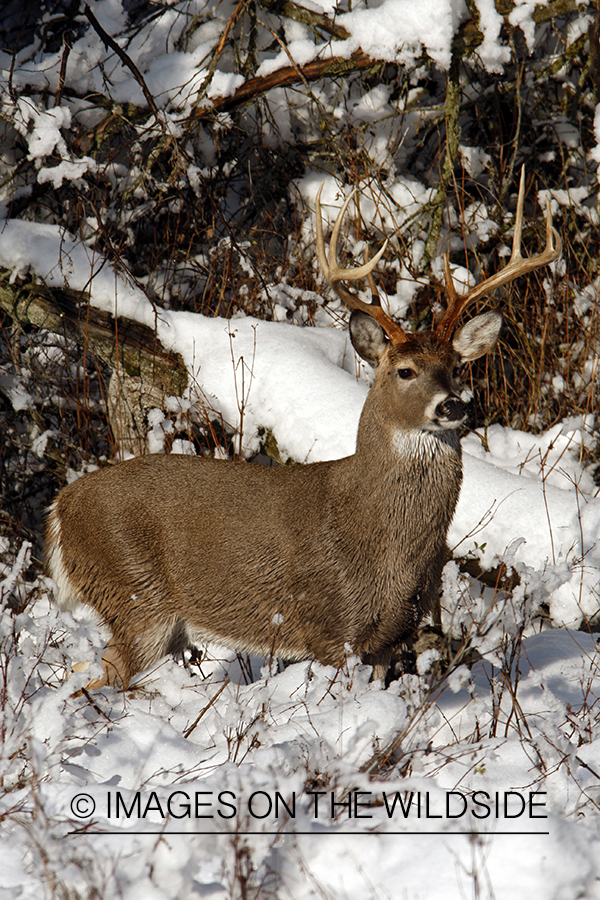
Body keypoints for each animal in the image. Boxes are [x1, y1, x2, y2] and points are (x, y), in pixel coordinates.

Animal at [44, 171, 560, 688]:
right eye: (405, 371)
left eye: (456, 367)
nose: (452, 404)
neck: (382, 541)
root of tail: (60, 509)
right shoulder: (331, 629)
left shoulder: (388, 639)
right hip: (135, 597)